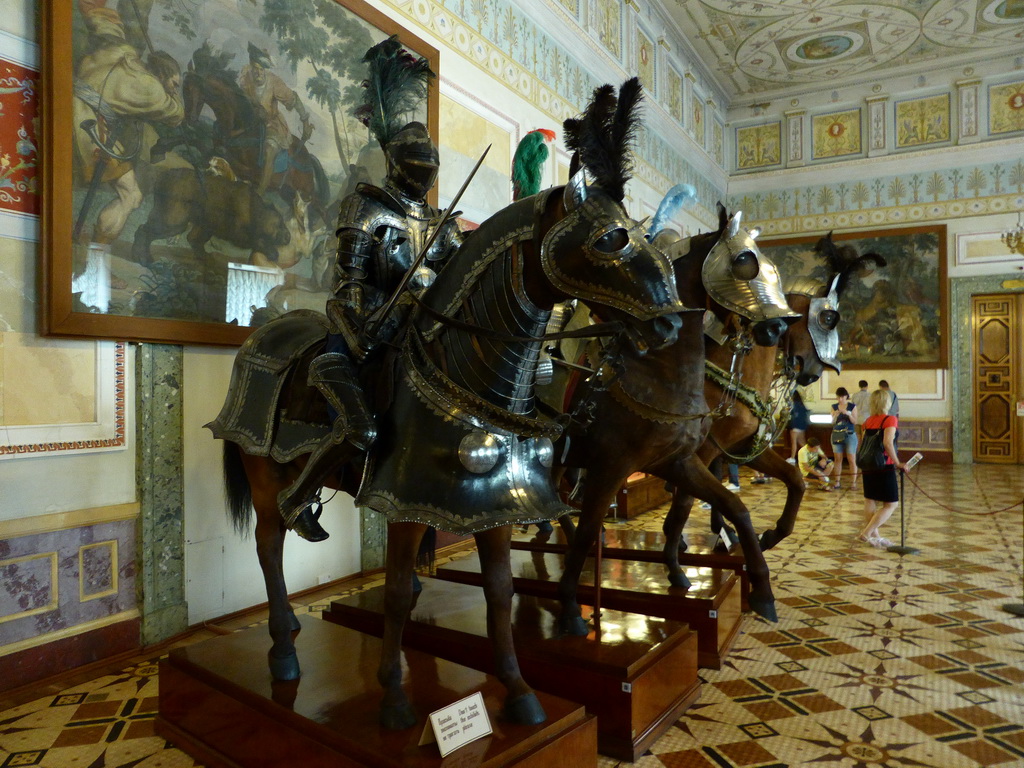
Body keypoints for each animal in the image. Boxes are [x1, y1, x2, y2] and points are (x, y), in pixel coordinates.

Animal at [552, 205, 798, 630]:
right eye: (744, 261)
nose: (777, 324)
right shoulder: (614, 464)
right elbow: (597, 526)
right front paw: (569, 605)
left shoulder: (686, 460)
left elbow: (740, 505)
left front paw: (759, 586)